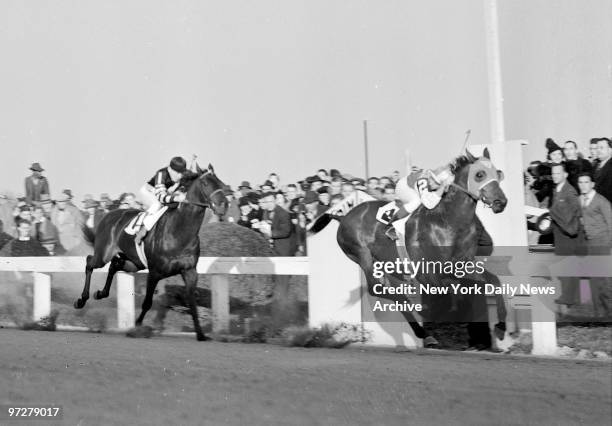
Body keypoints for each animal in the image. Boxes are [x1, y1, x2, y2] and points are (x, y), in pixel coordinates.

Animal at [74, 165, 227, 342]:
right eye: (205, 183)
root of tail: (108, 215)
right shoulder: (154, 272)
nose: (223, 205)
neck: (179, 232)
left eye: (219, 181)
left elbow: (192, 302)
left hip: (133, 263)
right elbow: (147, 302)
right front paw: (137, 326)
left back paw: (100, 293)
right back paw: (81, 300)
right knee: (89, 262)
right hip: (103, 255)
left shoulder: (190, 271)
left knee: (114, 265)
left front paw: (201, 334)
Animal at [330, 148, 506, 348]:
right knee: (378, 289)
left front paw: (500, 326)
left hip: (386, 265)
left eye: (497, 173)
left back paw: (424, 332)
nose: (501, 202)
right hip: (362, 256)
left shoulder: (462, 265)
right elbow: (448, 294)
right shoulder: (428, 273)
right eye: (479, 174)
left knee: (392, 292)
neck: (447, 221)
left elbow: (493, 282)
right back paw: (422, 327)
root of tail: (343, 217)